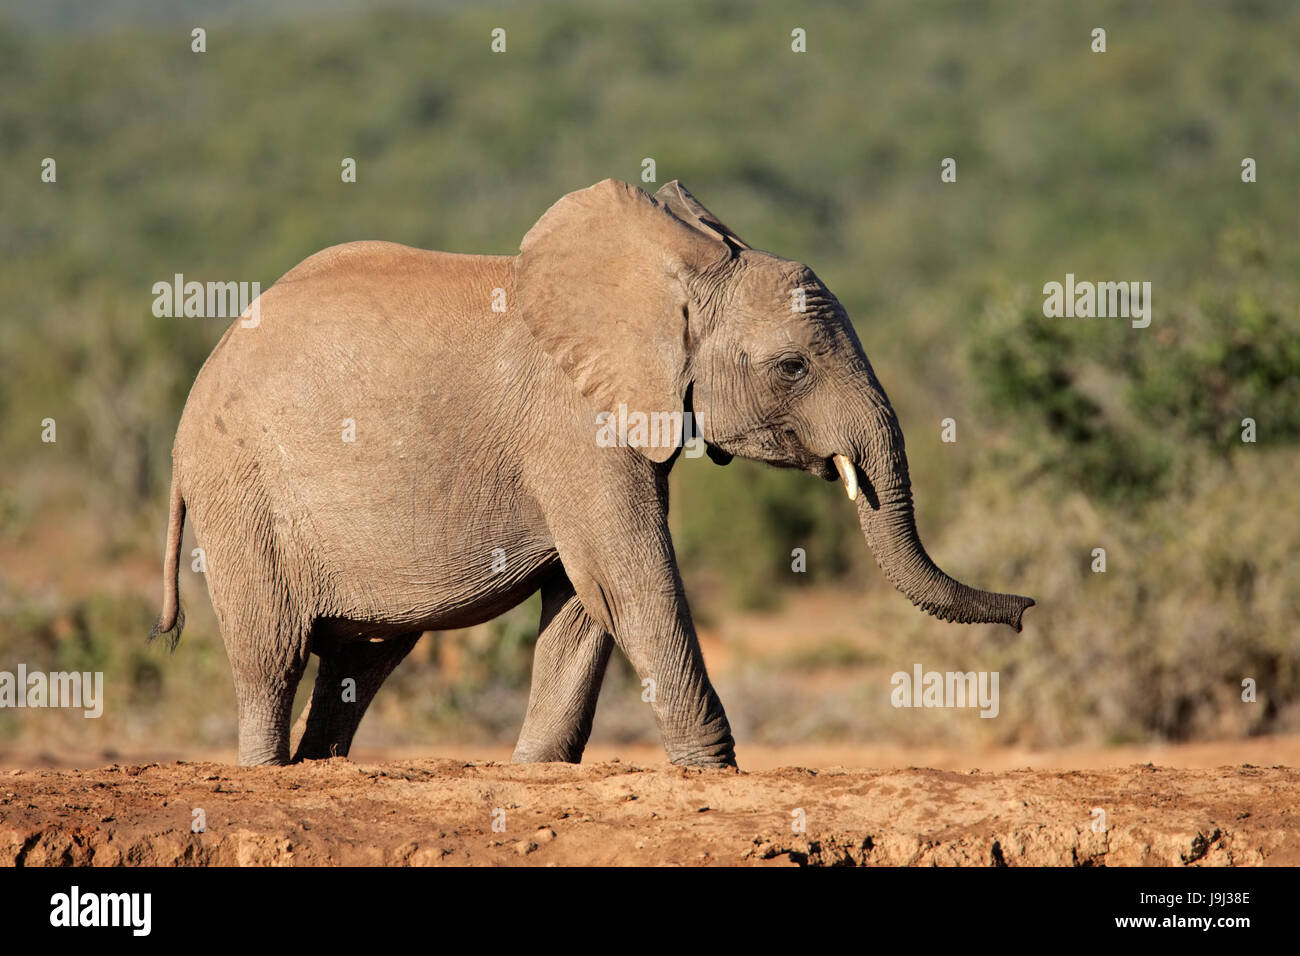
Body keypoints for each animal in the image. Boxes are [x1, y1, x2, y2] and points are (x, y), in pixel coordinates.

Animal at [147, 175, 1029, 764]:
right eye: (792, 368)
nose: (1025, 611)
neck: (671, 272)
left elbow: (585, 600)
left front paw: (536, 772)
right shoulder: (573, 425)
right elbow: (630, 577)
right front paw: (715, 773)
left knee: (358, 660)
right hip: (240, 489)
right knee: (272, 658)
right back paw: (269, 769)